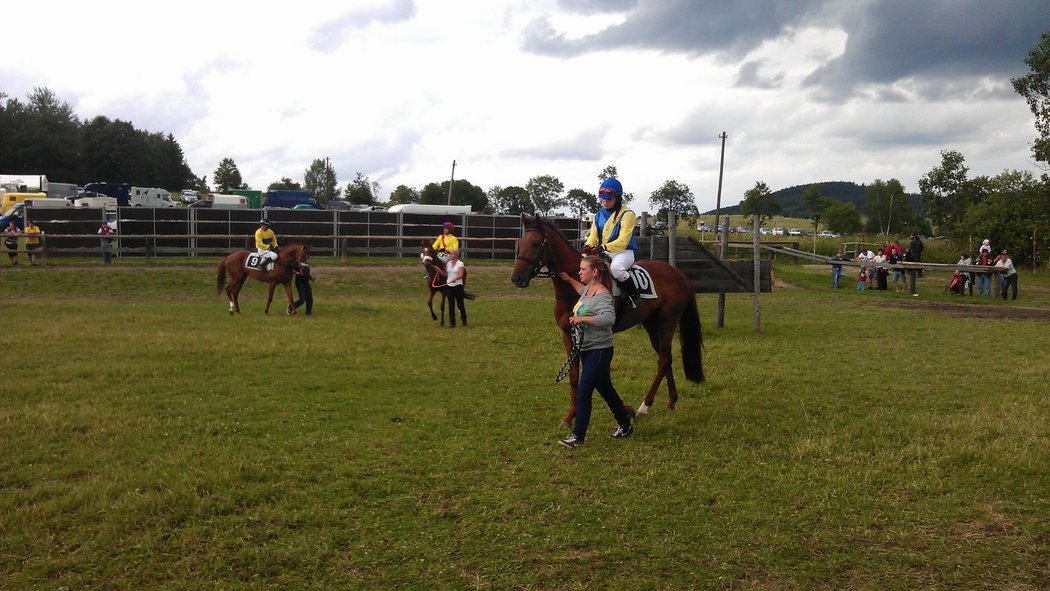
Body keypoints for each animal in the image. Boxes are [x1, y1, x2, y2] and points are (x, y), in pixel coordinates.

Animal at [510, 215, 705, 428]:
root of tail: (680, 275)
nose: (517, 278)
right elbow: (574, 375)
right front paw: (570, 417)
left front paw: (623, 409)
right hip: (653, 327)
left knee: (663, 361)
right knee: (666, 358)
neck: (579, 285)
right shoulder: (568, 335)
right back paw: (671, 401)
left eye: (536, 244)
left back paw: (644, 407)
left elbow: (598, 374)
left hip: (667, 322)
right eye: (520, 243)